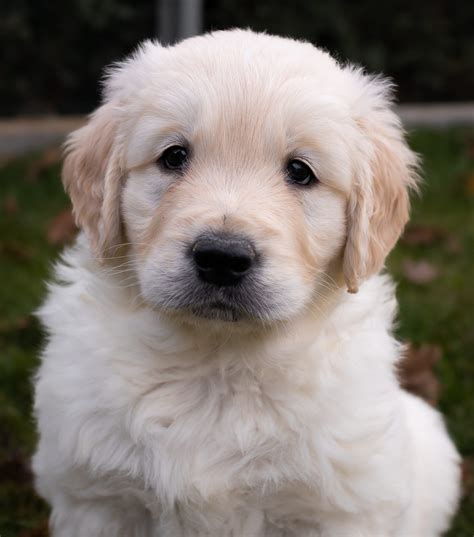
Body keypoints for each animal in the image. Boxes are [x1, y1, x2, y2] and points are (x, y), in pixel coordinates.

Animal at [33, 30, 460, 536]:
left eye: (300, 171)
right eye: (174, 156)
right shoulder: (98, 500)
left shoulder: (338, 508)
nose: (222, 258)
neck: (218, 364)